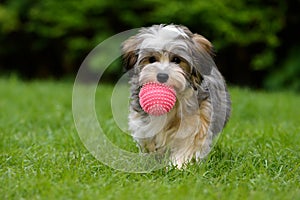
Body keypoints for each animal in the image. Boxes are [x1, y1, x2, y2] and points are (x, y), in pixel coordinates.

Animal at [120, 24, 231, 169]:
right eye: (152, 59)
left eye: (177, 60)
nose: (162, 76)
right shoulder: (141, 120)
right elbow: (149, 138)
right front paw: (152, 161)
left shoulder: (196, 120)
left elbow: (188, 144)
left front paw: (178, 166)